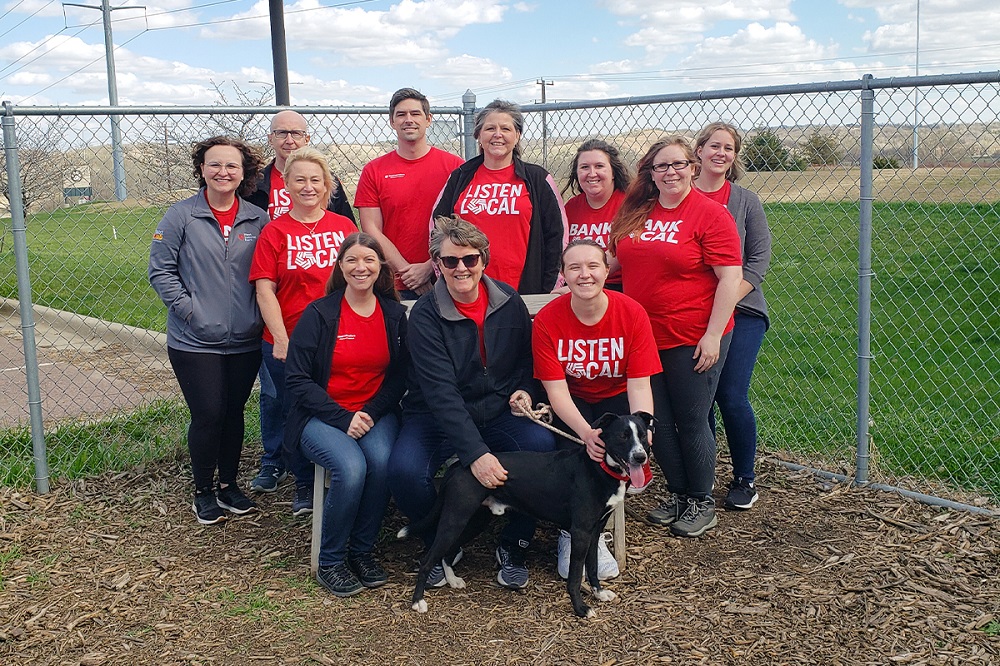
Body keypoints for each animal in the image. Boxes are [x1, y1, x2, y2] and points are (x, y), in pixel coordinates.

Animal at [400, 410, 656, 616]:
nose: (640, 456)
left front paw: (599, 593)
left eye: (642, 435)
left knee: (447, 551)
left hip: (473, 520)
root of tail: (458, 466)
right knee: (426, 560)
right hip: (455, 519)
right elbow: (575, 577)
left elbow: (592, 567)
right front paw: (581, 609)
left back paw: (452, 580)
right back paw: (418, 602)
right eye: (623, 436)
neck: (599, 467)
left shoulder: (595, 531)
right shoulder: (581, 532)